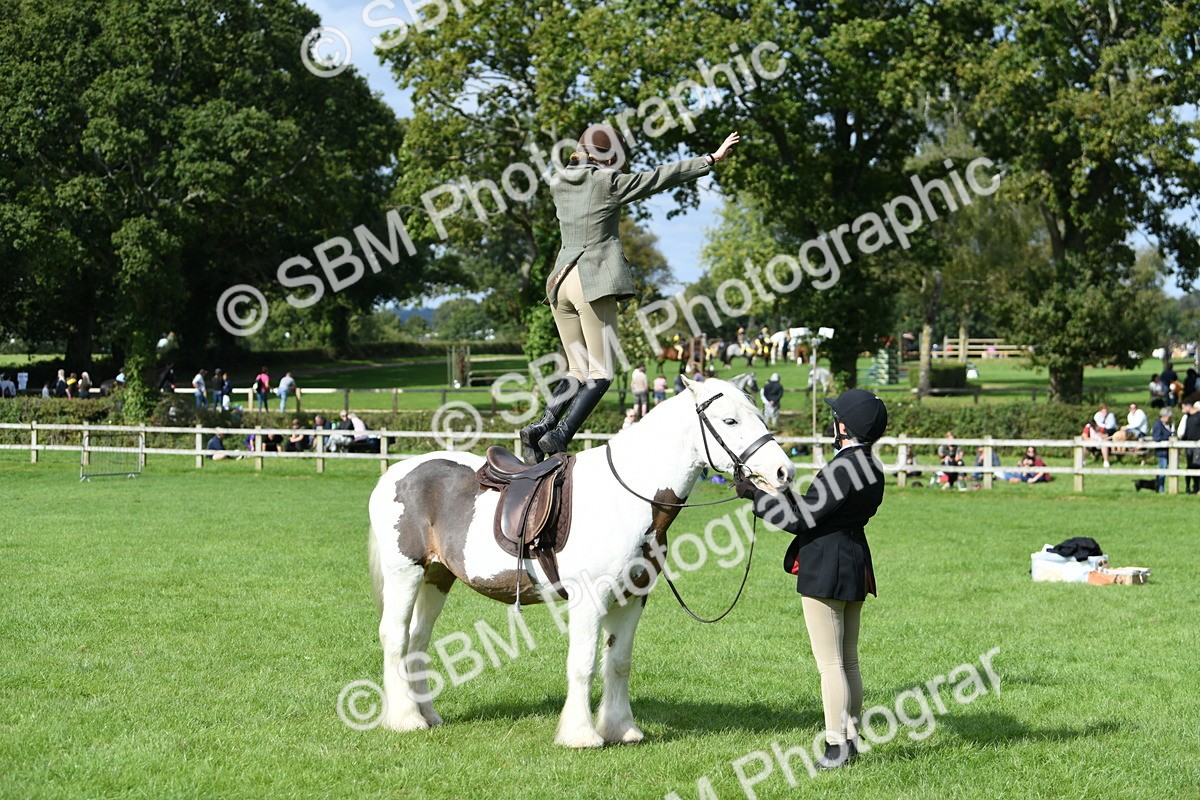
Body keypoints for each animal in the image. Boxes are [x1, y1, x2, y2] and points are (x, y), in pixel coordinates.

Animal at [367, 377, 794, 747]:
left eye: (759, 415)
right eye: (729, 420)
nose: (783, 472)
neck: (627, 497)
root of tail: (395, 472)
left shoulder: (632, 599)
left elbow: (618, 662)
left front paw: (621, 729)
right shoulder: (589, 599)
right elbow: (584, 663)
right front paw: (581, 735)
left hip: (437, 576)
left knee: (418, 640)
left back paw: (427, 715)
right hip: (405, 573)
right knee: (395, 637)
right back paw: (405, 719)